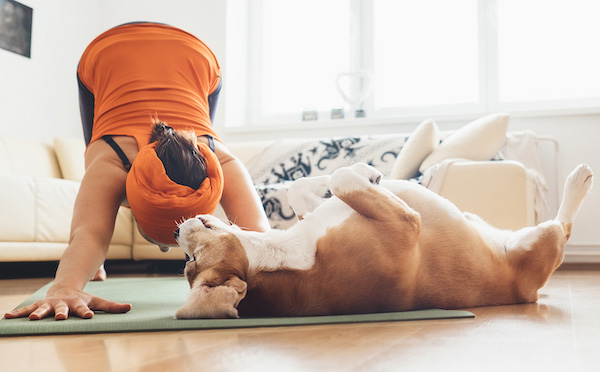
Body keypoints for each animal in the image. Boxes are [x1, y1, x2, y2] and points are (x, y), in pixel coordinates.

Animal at [175, 161, 596, 318]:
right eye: (191, 262)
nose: (176, 231)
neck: (285, 255)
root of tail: (529, 293)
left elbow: (302, 188)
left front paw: (366, 173)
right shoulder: (406, 225)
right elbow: (342, 178)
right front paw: (366, 170)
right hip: (543, 241)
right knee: (563, 227)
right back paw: (579, 181)